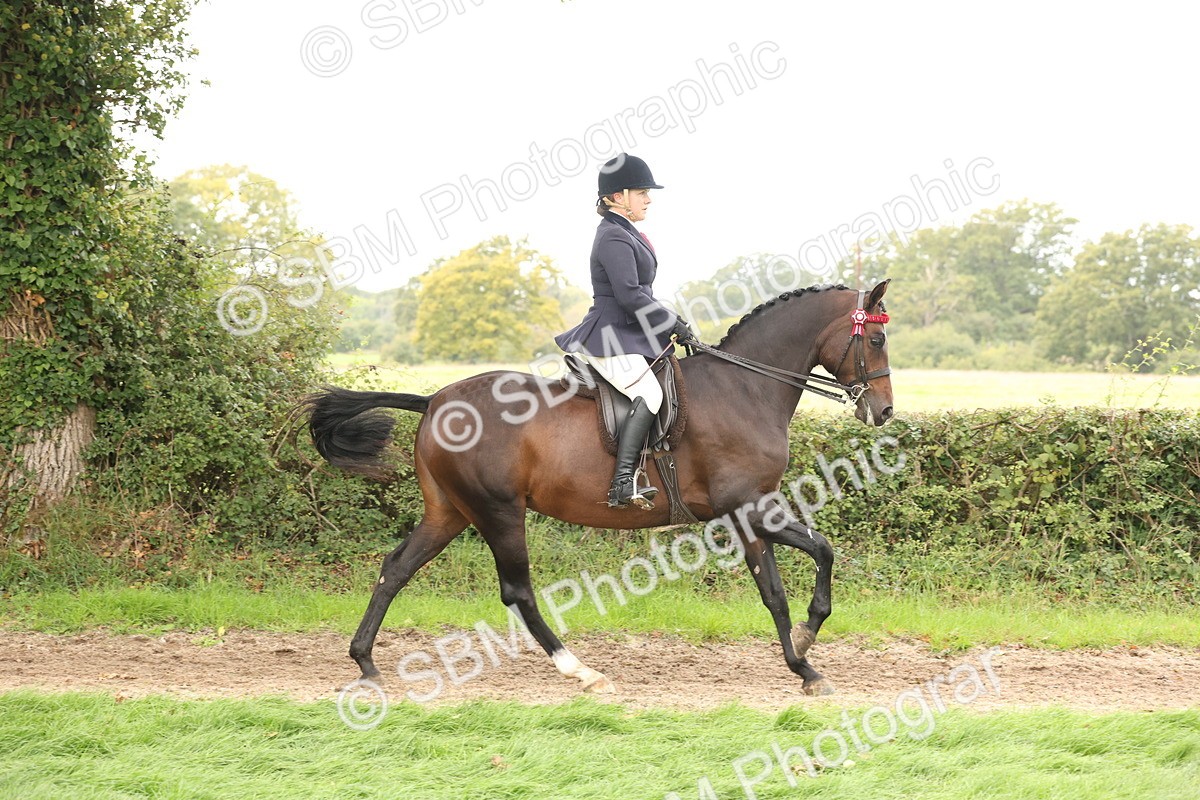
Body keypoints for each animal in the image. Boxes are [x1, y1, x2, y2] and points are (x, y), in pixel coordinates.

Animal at [305, 280, 893, 696]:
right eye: (878, 337)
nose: (884, 412)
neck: (745, 387)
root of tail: (434, 401)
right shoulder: (747, 507)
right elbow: (807, 563)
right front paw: (806, 653)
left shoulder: (750, 512)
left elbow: (787, 578)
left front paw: (802, 656)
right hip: (498, 512)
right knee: (517, 591)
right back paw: (581, 671)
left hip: (450, 511)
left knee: (396, 568)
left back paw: (365, 663)